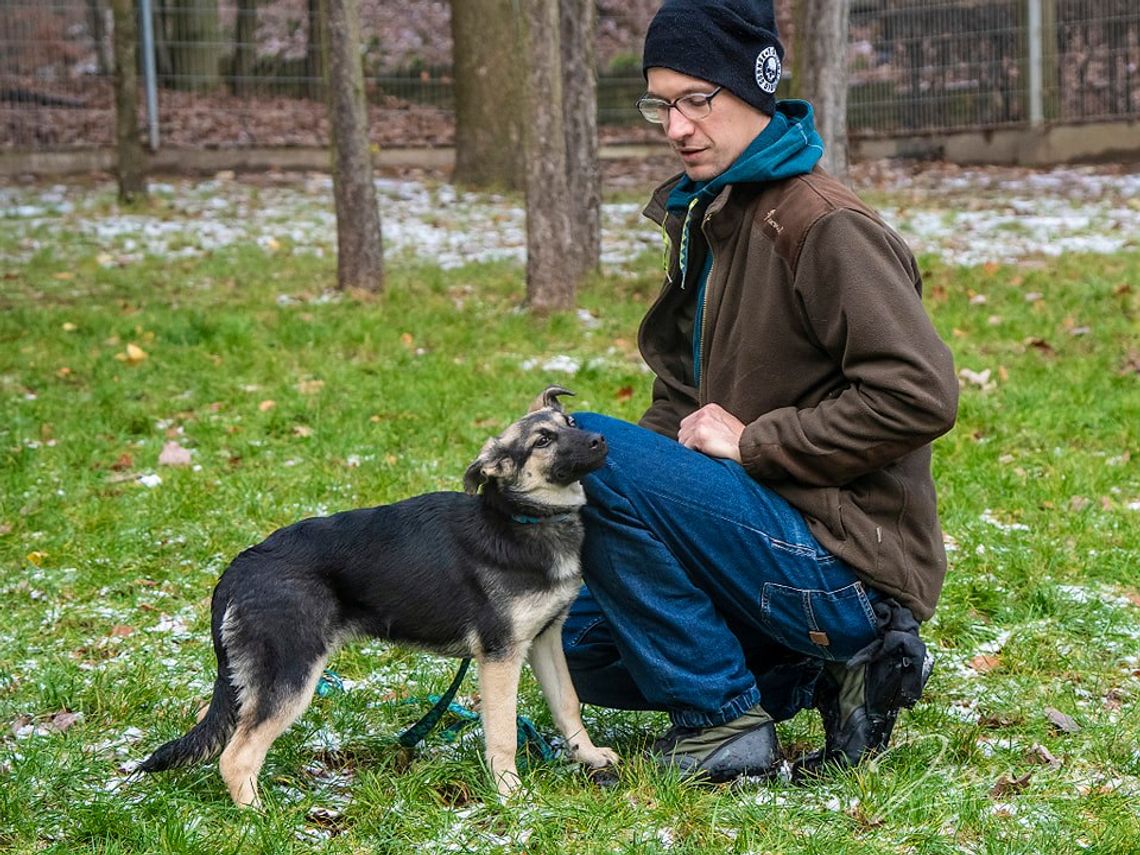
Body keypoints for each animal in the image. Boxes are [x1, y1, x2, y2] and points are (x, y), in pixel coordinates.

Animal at [143, 387, 624, 811]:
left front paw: (589, 756)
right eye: (542, 441)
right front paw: (511, 794)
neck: (522, 519)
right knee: (236, 755)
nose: (601, 441)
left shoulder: (545, 639)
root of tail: (240, 566)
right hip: (291, 675)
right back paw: (259, 819)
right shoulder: (499, 657)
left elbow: (567, 704)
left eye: (570, 423)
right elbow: (503, 732)